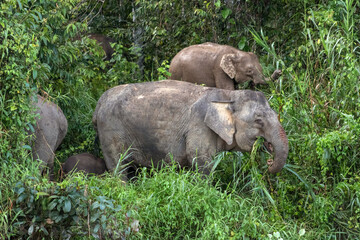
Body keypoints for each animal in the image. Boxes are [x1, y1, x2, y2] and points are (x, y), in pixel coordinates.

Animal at [93, 79, 290, 177]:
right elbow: (202, 162)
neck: (228, 95)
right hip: (110, 130)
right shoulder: (199, 126)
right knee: (119, 168)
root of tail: (99, 102)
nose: (269, 162)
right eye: (259, 120)